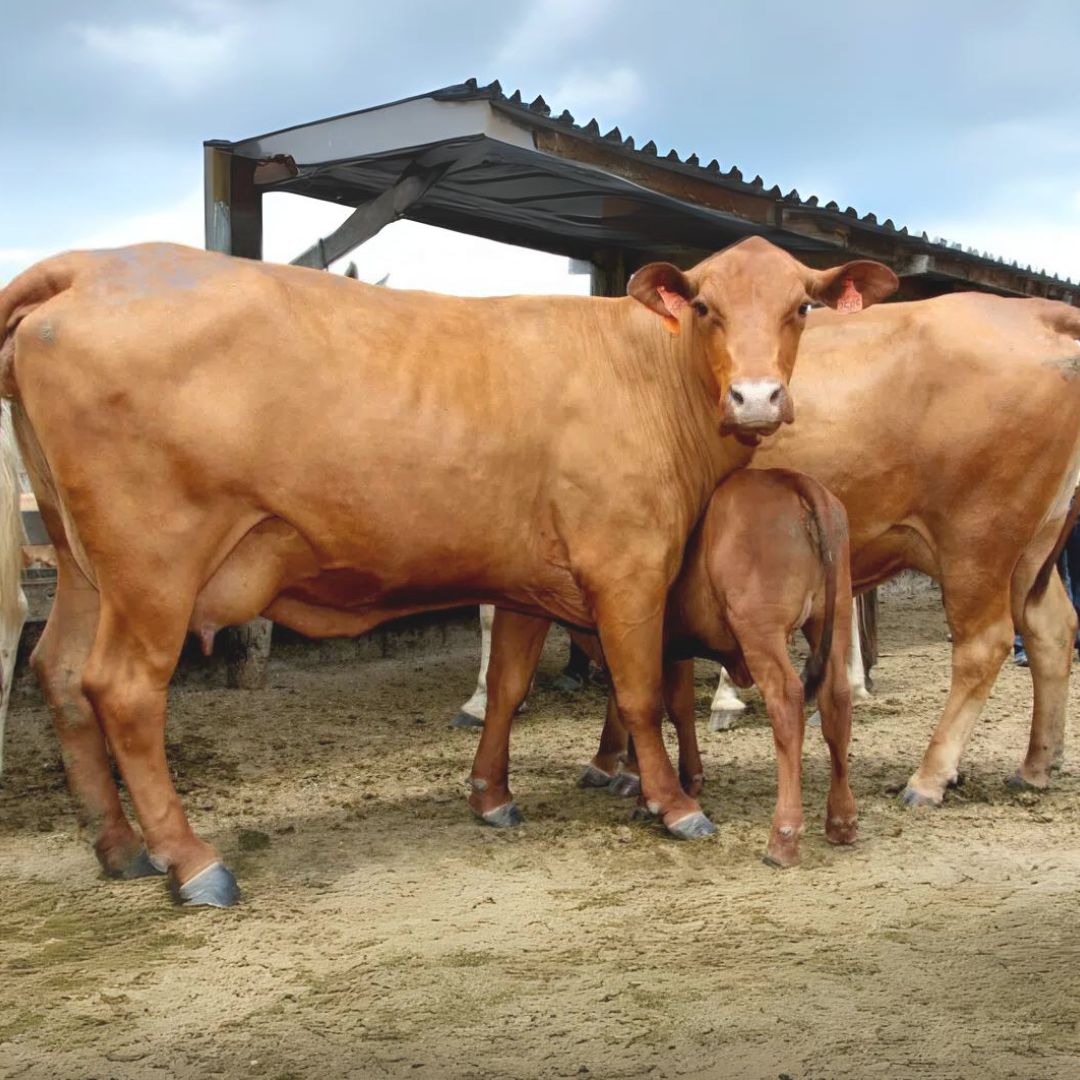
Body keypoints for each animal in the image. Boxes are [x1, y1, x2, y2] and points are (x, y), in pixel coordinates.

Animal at [468, 468, 856, 868]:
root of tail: (790, 480)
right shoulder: (669, 647)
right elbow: (675, 706)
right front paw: (676, 781)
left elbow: (639, 702)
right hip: (835, 618)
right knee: (837, 700)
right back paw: (842, 821)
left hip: (761, 632)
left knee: (787, 703)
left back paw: (783, 837)